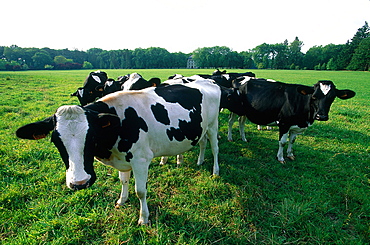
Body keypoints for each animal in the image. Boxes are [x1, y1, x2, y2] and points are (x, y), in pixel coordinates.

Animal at [15, 78, 221, 224]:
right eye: (56, 141)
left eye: (92, 136)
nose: (80, 183)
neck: (119, 123)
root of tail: (207, 81)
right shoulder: (124, 160)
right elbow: (123, 181)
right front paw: (122, 200)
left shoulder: (140, 160)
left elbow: (141, 191)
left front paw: (143, 218)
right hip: (201, 128)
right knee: (202, 143)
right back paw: (200, 161)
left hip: (213, 125)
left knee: (215, 147)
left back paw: (215, 171)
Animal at [228, 77, 356, 164]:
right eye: (314, 96)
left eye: (332, 98)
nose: (321, 116)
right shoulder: (284, 124)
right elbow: (283, 142)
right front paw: (280, 158)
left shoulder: (295, 126)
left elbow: (292, 141)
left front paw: (290, 155)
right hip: (234, 109)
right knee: (231, 122)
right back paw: (230, 138)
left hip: (245, 112)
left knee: (241, 122)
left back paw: (244, 138)